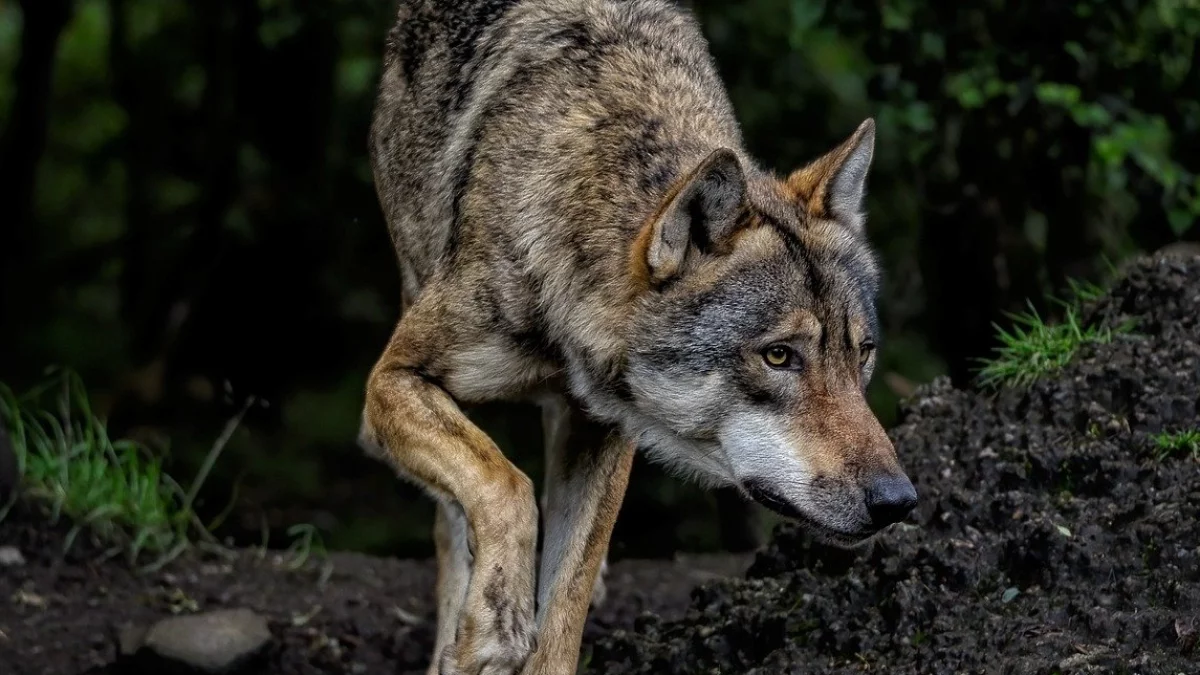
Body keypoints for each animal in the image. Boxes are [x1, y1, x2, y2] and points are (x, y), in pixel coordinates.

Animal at [360, 2, 912, 667]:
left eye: (863, 354)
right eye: (779, 356)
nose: (898, 500)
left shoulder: (605, 430)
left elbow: (564, 605)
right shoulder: (390, 381)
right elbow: (504, 483)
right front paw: (495, 623)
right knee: (456, 518)